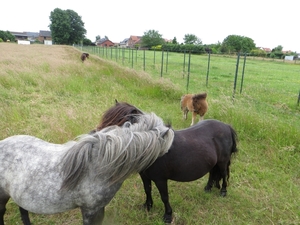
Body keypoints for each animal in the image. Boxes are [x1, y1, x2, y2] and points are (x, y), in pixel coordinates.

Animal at [91, 101, 237, 223]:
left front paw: (167, 216)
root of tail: (227, 126)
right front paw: (147, 206)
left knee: (224, 174)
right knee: (212, 173)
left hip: (223, 162)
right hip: (214, 162)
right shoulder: (144, 176)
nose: (94, 136)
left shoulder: (160, 179)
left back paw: (223, 192)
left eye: (119, 124)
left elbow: (164, 196)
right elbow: (147, 190)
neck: (154, 146)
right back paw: (207, 189)